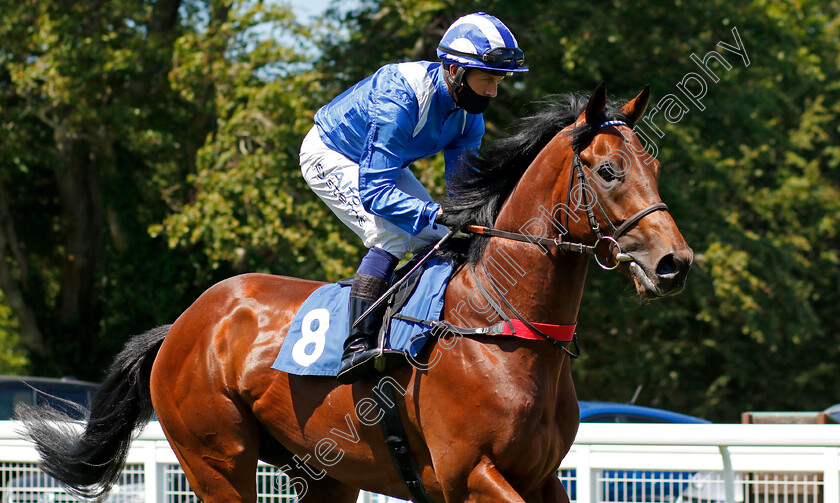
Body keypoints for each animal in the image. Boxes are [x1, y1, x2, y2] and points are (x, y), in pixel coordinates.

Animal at [18, 83, 688, 503]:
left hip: (323, 473)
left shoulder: (541, 477)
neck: (502, 325)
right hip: (216, 460)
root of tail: (183, 324)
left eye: (654, 166)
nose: (674, 264)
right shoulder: (469, 474)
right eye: (609, 171)